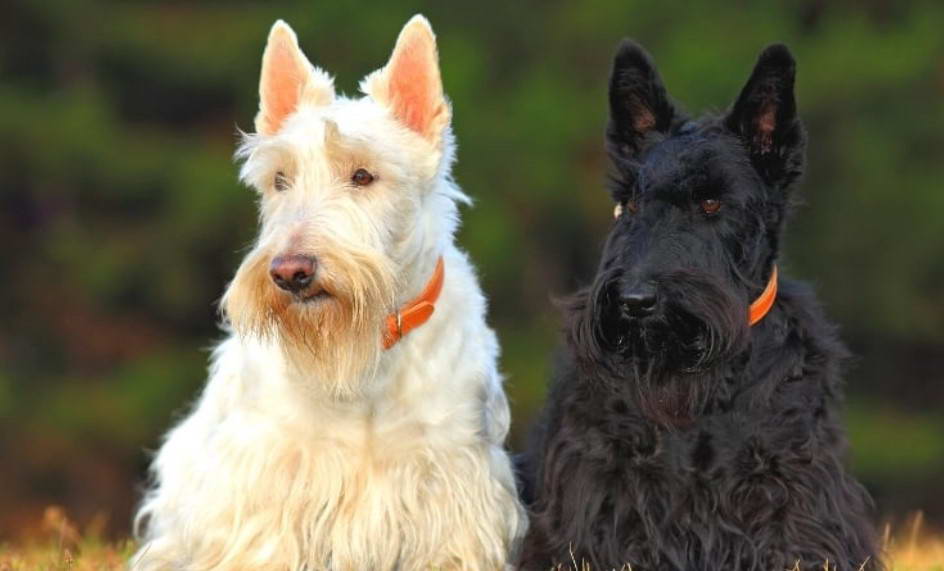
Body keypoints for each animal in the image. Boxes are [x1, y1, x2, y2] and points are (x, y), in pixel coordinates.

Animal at [134, 15, 528, 568]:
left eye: (363, 175)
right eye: (280, 179)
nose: (290, 272)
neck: (365, 358)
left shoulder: (454, 475)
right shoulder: (267, 478)